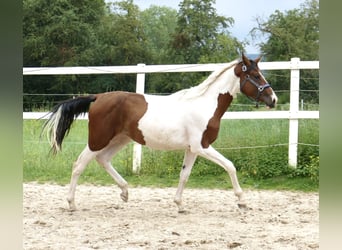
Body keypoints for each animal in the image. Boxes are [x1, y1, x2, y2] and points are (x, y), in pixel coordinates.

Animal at [42, 53, 278, 212]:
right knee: (79, 164)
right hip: (98, 139)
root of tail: (98, 97)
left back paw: (125, 192)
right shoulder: (202, 146)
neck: (205, 104)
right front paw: (242, 201)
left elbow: (184, 175)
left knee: (103, 160)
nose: (273, 99)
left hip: (119, 139)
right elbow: (230, 166)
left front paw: (180, 205)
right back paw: (72, 204)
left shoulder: (192, 149)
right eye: (255, 75)